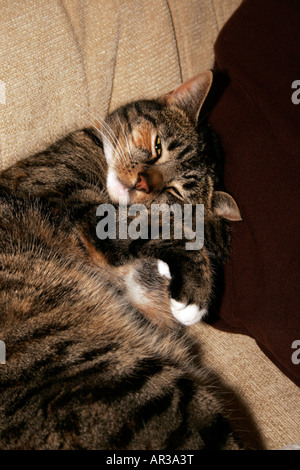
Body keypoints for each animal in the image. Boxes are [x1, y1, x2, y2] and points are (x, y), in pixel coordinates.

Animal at [0, 71, 243, 450]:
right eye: (158, 147)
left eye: (175, 191)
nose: (142, 183)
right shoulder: (78, 204)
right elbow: (158, 230)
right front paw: (195, 292)